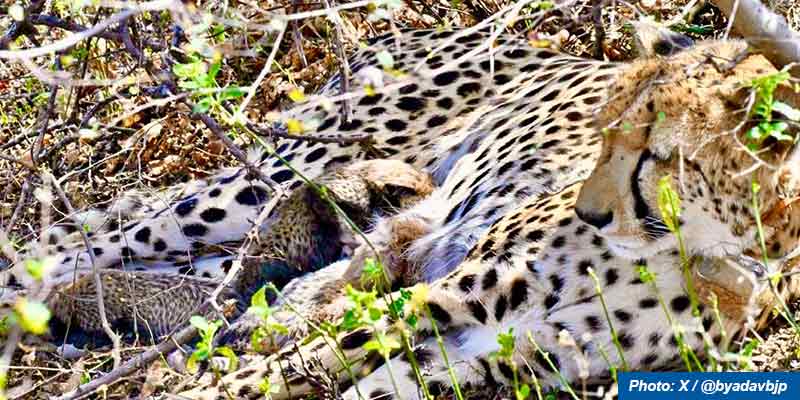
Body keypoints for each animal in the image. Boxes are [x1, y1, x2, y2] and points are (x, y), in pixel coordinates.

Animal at [174, 30, 800, 400]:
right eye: (602, 133)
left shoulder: (493, 355)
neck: (694, 252)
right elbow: (299, 363)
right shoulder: (448, 296)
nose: (589, 213)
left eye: (654, 153)